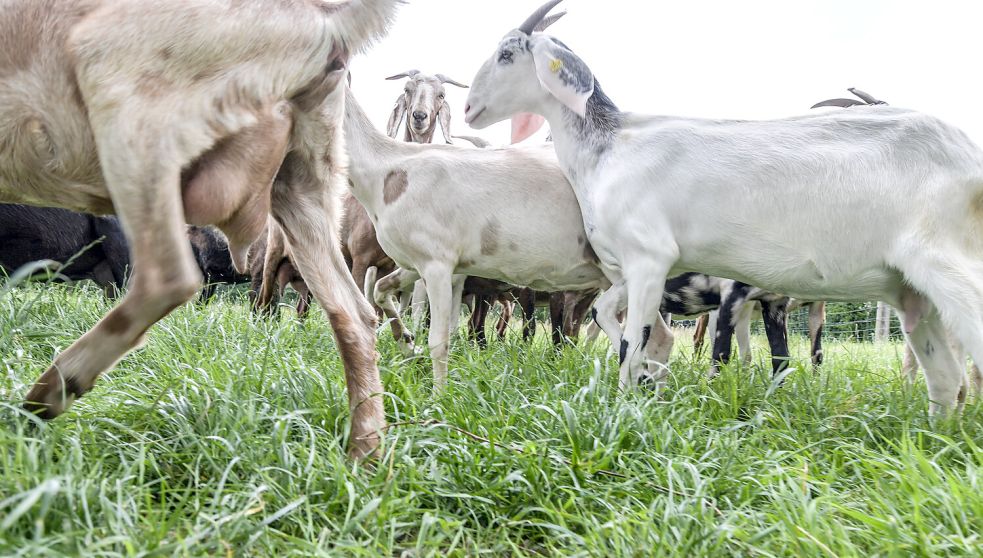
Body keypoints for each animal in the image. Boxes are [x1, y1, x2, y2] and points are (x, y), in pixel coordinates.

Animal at [2, 0, 402, 458]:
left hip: (128, 97)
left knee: (168, 278)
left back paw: (48, 394)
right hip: (302, 179)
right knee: (354, 314)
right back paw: (364, 456)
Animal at [466, 0, 983, 413]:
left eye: (507, 54)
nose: (470, 109)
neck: (610, 148)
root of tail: (969, 154)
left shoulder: (651, 258)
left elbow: (636, 341)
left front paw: (631, 399)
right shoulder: (630, 271)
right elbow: (607, 317)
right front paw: (650, 380)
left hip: (949, 267)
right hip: (914, 294)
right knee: (947, 380)